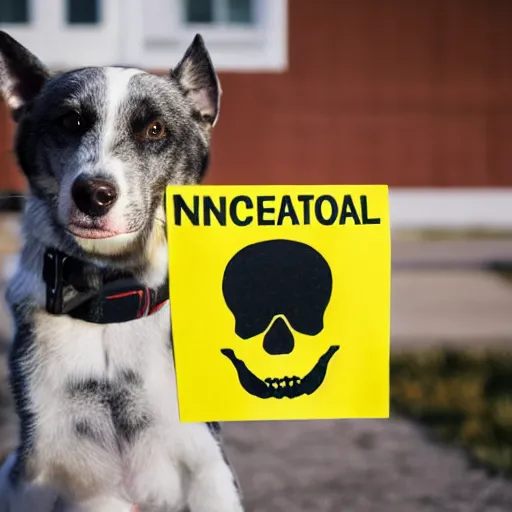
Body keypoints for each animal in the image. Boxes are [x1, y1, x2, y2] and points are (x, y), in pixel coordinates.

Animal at [0, 31, 245, 512]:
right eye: (71, 121)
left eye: (155, 130)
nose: (93, 194)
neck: (110, 301)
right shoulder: (33, 473)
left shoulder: (207, 466)